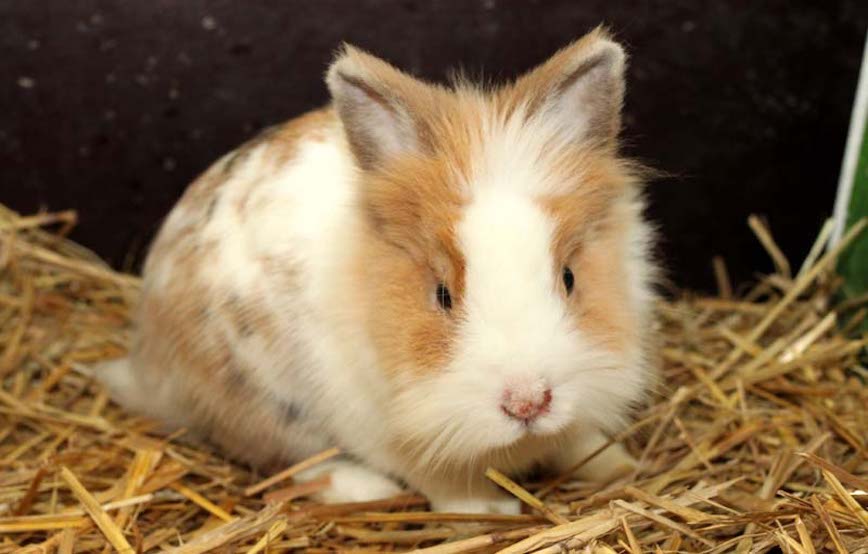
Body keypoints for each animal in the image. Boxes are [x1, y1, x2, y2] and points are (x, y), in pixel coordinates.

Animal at [98, 26, 658, 514]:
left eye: (569, 278)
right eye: (442, 294)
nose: (528, 403)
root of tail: (146, 361)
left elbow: (576, 439)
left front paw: (615, 466)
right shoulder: (384, 426)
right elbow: (440, 474)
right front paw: (487, 509)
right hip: (258, 402)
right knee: (283, 457)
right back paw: (363, 489)